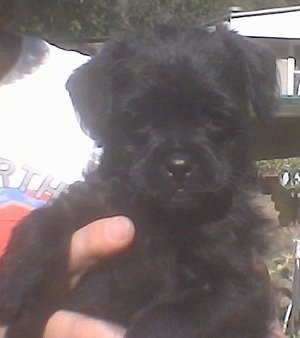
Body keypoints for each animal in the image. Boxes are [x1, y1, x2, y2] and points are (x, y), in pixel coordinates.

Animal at [0, 26, 276, 338]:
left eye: (217, 119)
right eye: (138, 122)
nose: (178, 165)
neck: (160, 219)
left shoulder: (235, 290)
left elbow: (165, 320)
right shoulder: (97, 202)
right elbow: (48, 218)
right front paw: (15, 275)